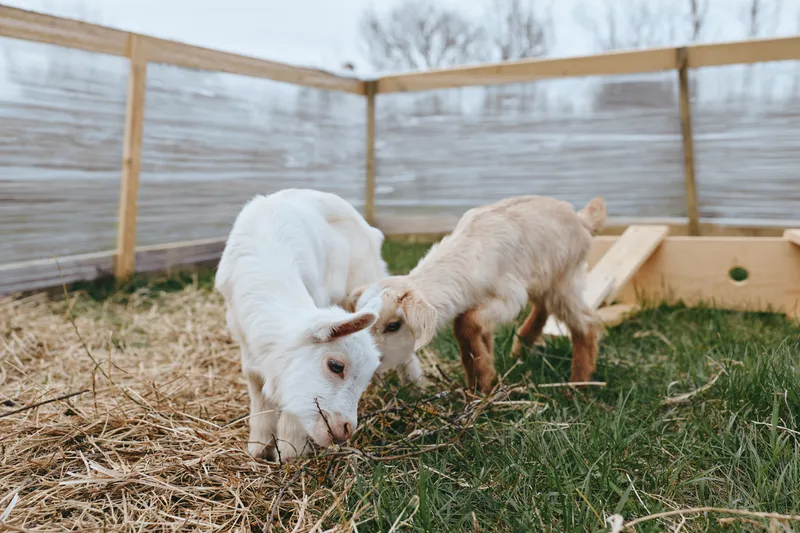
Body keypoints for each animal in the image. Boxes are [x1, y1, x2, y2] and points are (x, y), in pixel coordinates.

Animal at [345, 195, 607, 394]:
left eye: (393, 326)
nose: (366, 360)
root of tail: (582, 218)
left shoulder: (508, 298)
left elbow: (465, 324)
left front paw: (481, 384)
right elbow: (478, 338)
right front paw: (482, 382)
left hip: (565, 279)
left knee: (586, 324)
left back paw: (578, 386)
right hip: (543, 280)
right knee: (543, 308)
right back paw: (521, 349)